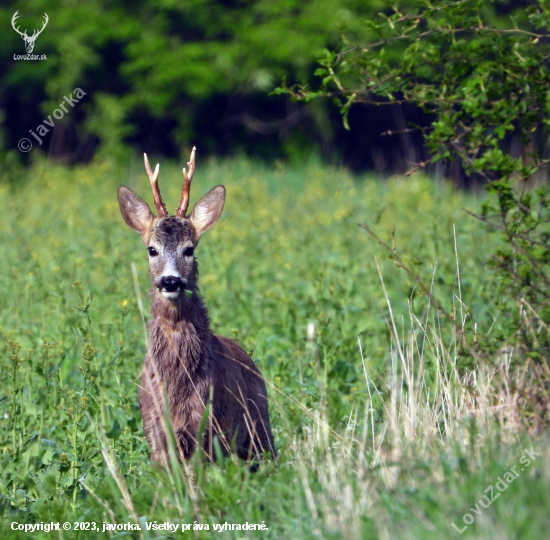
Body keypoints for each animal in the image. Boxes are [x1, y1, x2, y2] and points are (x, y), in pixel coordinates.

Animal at [119, 149, 278, 468]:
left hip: (259, 429)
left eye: (189, 249)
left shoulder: (206, 428)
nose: (170, 281)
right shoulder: (155, 432)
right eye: (152, 249)